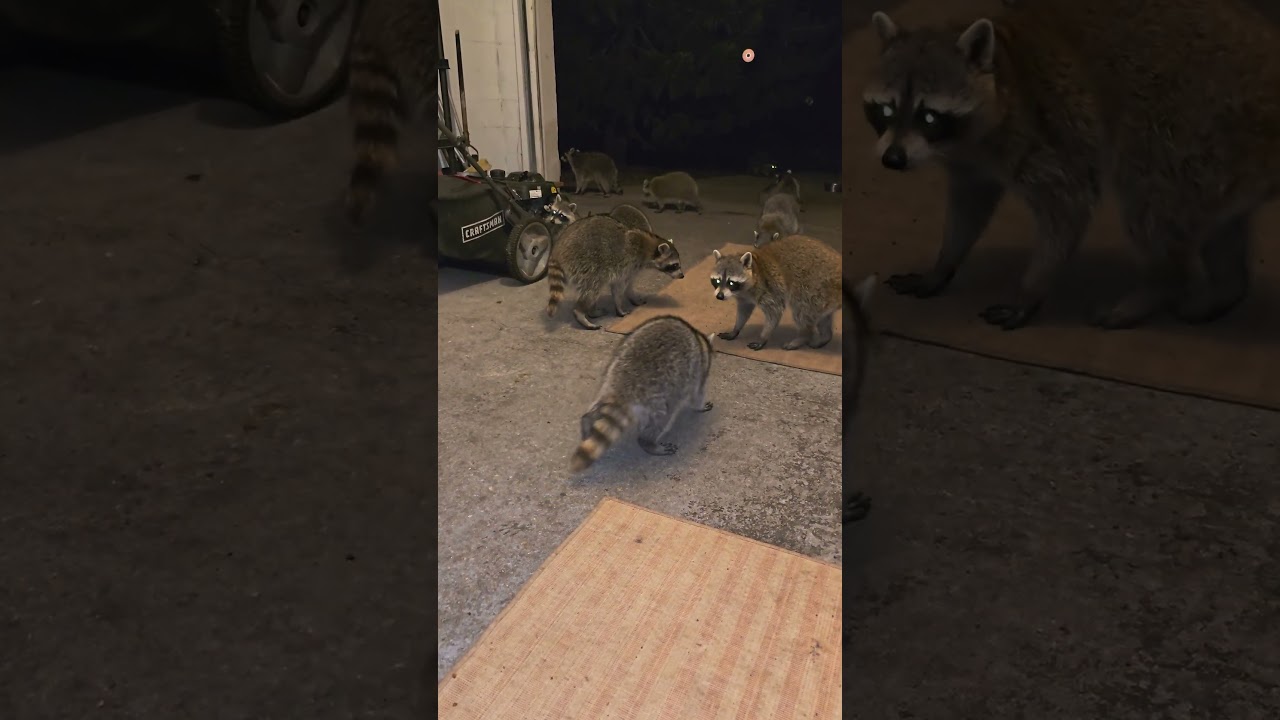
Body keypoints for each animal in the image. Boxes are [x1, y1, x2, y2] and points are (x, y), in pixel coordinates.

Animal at [546, 215, 686, 330]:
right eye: (674, 265)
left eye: (678, 264)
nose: (682, 276)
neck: (648, 248)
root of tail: (558, 248)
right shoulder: (627, 263)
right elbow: (618, 289)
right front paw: (619, 307)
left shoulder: (632, 269)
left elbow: (628, 286)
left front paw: (633, 297)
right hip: (586, 263)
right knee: (592, 290)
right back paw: (581, 313)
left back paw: (591, 311)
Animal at [570, 315, 716, 472]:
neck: (698, 340)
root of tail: (623, 389)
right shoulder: (698, 369)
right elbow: (697, 394)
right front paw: (700, 406)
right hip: (658, 398)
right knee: (663, 418)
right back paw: (648, 442)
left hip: (610, 376)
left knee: (600, 405)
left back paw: (588, 419)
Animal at [711, 235, 842, 351]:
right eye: (717, 281)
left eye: (731, 282)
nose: (719, 296)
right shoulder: (744, 296)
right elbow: (744, 310)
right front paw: (736, 329)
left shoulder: (769, 288)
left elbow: (774, 311)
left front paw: (763, 337)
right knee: (822, 317)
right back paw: (825, 337)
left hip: (814, 287)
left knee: (801, 310)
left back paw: (802, 337)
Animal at [862, 1, 1280, 330]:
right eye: (886, 110)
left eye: (929, 116)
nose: (893, 159)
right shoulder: (971, 160)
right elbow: (970, 206)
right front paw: (943, 264)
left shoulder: (1050, 131)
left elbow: (1067, 206)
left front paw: (1032, 287)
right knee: (1220, 227)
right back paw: (1226, 290)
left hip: (1191, 132)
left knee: (1147, 201)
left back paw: (1159, 285)